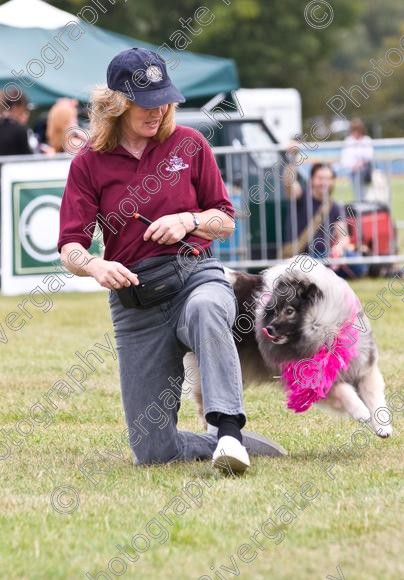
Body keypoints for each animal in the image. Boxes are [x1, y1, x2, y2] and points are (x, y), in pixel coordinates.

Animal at [187, 256, 394, 438]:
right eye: (274, 311)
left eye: (289, 311)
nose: (268, 329)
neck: (327, 332)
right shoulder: (314, 381)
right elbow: (345, 393)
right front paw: (361, 412)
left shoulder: (364, 369)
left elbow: (375, 398)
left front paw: (383, 427)